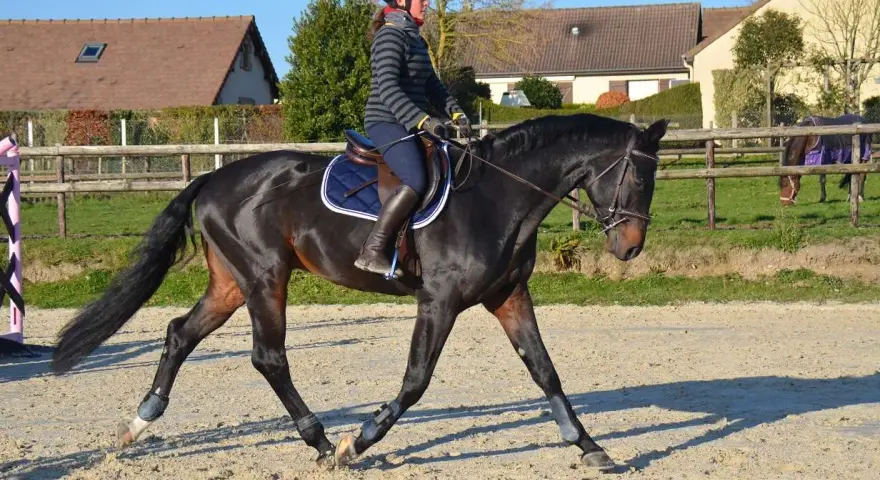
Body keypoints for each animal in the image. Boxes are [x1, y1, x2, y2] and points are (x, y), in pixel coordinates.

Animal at [49, 113, 669, 471]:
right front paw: (358, 443)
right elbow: (415, 382)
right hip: (265, 278)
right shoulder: (439, 302)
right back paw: (322, 442)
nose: (632, 247)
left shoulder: (510, 296)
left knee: (180, 334)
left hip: (231, 283)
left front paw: (589, 446)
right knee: (269, 357)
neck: (497, 197)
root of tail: (213, 177)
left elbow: (546, 373)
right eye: (638, 176)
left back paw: (138, 424)